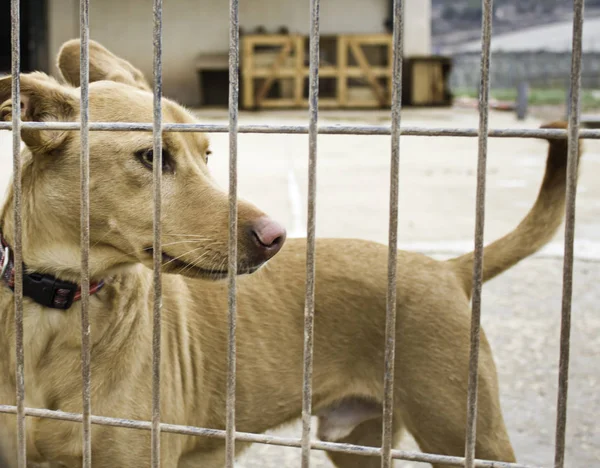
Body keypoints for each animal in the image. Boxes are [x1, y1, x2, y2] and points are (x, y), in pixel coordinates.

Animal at [0, 40, 580, 468]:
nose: (275, 236)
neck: (58, 303)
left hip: (468, 436)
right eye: (151, 156)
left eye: (209, 153)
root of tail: (445, 268)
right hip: (359, 443)